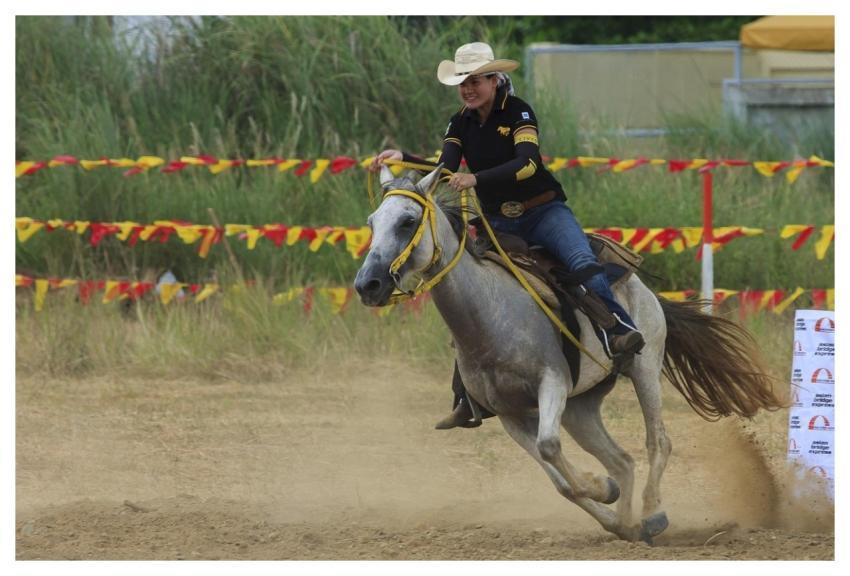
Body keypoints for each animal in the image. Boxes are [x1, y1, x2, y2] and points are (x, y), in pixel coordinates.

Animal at [354, 164, 785, 543]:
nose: (367, 285)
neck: (489, 313)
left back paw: (653, 514)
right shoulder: (509, 414)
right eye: (372, 222)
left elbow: (550, 448)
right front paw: (605, 495)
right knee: (622, 460)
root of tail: (643, 288)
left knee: (657, 442)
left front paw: (603, 490)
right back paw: (629, 523)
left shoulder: (553, 383)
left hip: (644, 368)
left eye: (407, 221)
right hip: (582, 406)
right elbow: (561, 482)